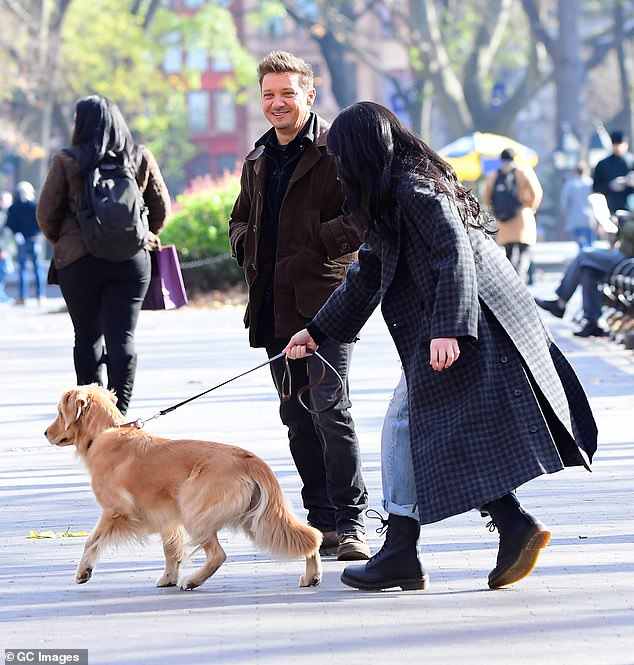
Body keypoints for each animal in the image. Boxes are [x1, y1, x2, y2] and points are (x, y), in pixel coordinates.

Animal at [45, 386, 320, 588]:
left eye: (59, 412)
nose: (45, 433)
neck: (105, 433)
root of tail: (250, 459)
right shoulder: (167, 517)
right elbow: (171, 550)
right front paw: (168, 577)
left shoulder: (116, 511)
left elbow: (91, 541)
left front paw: (84, 571)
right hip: (258, 518)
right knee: (309, 536)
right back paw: (312, 575)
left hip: (194, 510)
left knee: (218, 554)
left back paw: (193, 581)